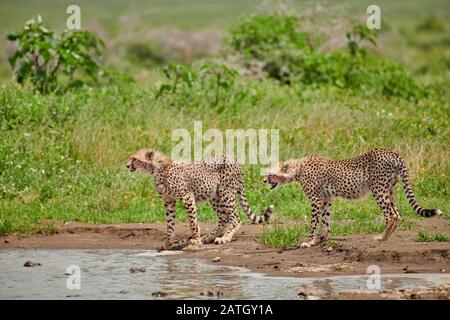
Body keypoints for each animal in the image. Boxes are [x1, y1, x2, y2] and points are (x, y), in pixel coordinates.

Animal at [127, 149, 274, 249]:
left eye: (134, 159)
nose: (127, 166)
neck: (156, 169)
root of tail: (234, 159)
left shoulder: (187, 196)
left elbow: (192, 221)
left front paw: (195, 239)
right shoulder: (168, 201)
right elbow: (170, 224)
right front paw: (168, 243)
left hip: (226, 192)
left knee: (235, 218)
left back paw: (225, 238)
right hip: (214, 196)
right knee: (223, 218)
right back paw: (209, 237)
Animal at [262, 148, 442, 248]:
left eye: (270, 174)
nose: (263, 180)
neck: (297, 168)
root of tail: (391, 152)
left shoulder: (316, 200)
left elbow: (313, 222)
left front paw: (309, 241)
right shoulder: (327, 199)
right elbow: (326, 220)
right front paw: (322, 239)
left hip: (378, 189)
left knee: (391, 215)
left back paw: (381, 237)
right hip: (389, 189)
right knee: (397, 214)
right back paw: (386, 237)